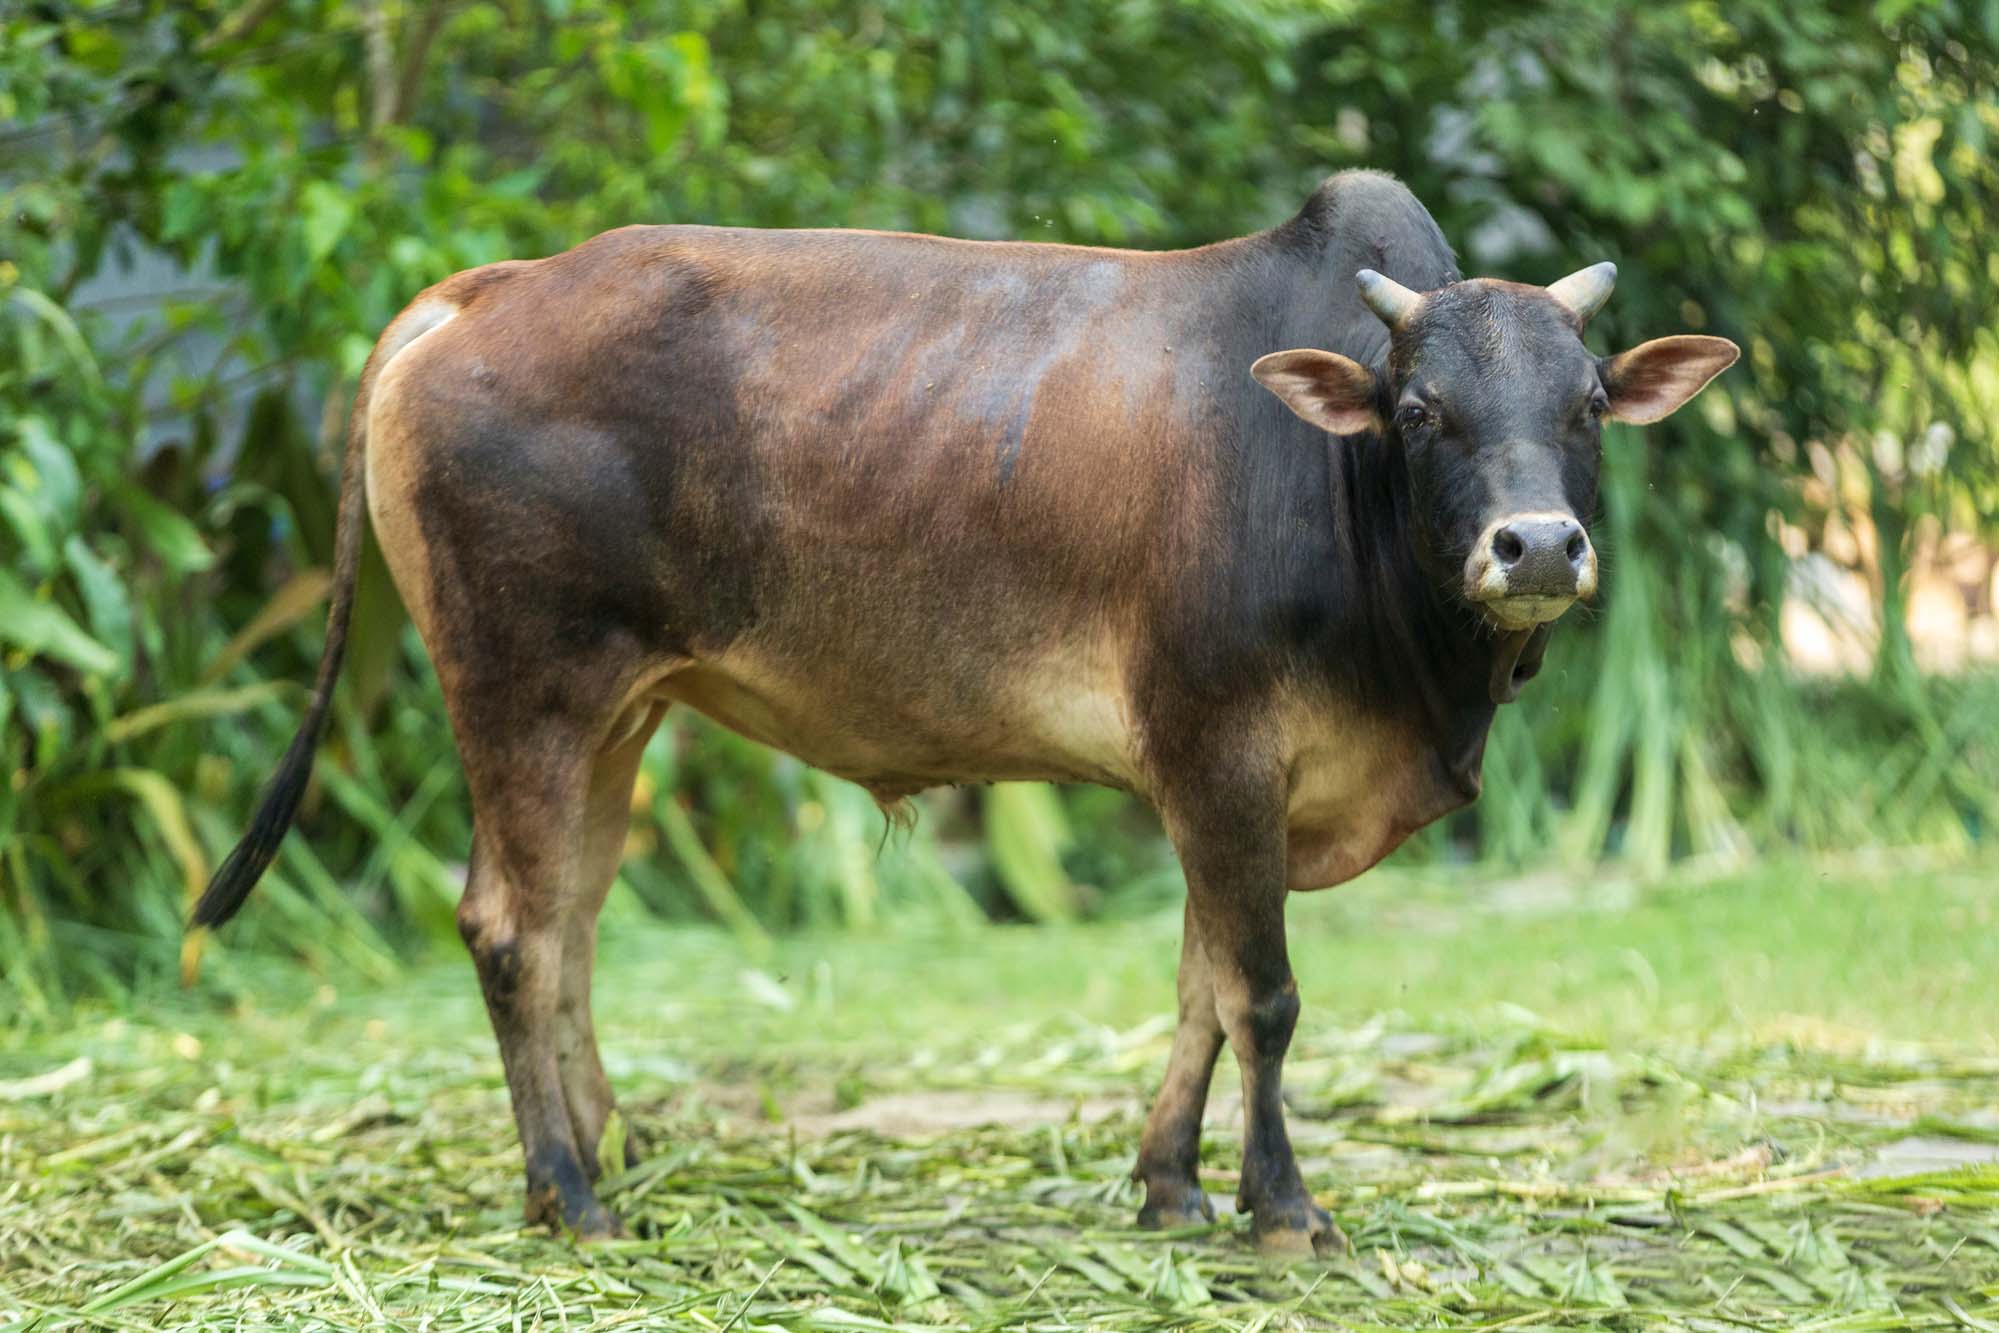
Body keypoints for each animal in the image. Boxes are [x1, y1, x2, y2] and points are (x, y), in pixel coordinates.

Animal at [190, 170, 1737, 1255]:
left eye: (1587, 403)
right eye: (1419, 410)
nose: (1534, 547)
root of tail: (484, 290)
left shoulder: (1206, 780)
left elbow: (1199, 985)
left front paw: (1168, 1186)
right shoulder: (1220, 749)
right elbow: (1264, 994)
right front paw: (1283, 1210)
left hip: (615, 715)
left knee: (567, 924)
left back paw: (610, 1154)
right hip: (525, 690)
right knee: (511, 929)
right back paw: (570, 1197)